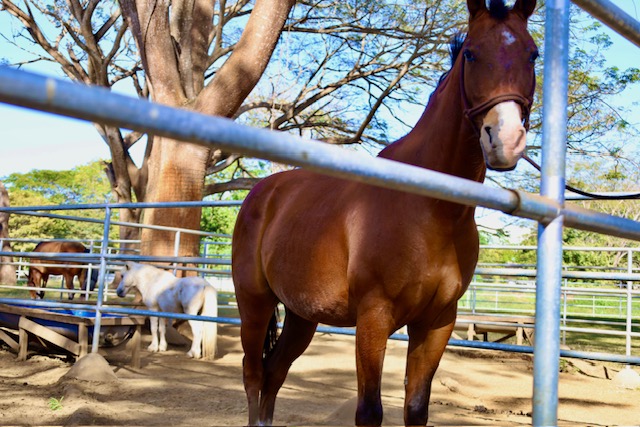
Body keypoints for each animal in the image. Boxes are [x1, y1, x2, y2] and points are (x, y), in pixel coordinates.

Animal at [232, 1, 536, 426]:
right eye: (472, 54)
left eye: (533, 54)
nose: (505, 140)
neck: (431, 208)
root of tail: (261, 193)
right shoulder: (374, 317)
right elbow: (369, 411)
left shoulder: (437, 322)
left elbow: (416, 407)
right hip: (254, 303)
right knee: (253, 374)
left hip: (300, 315)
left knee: (275, 372)